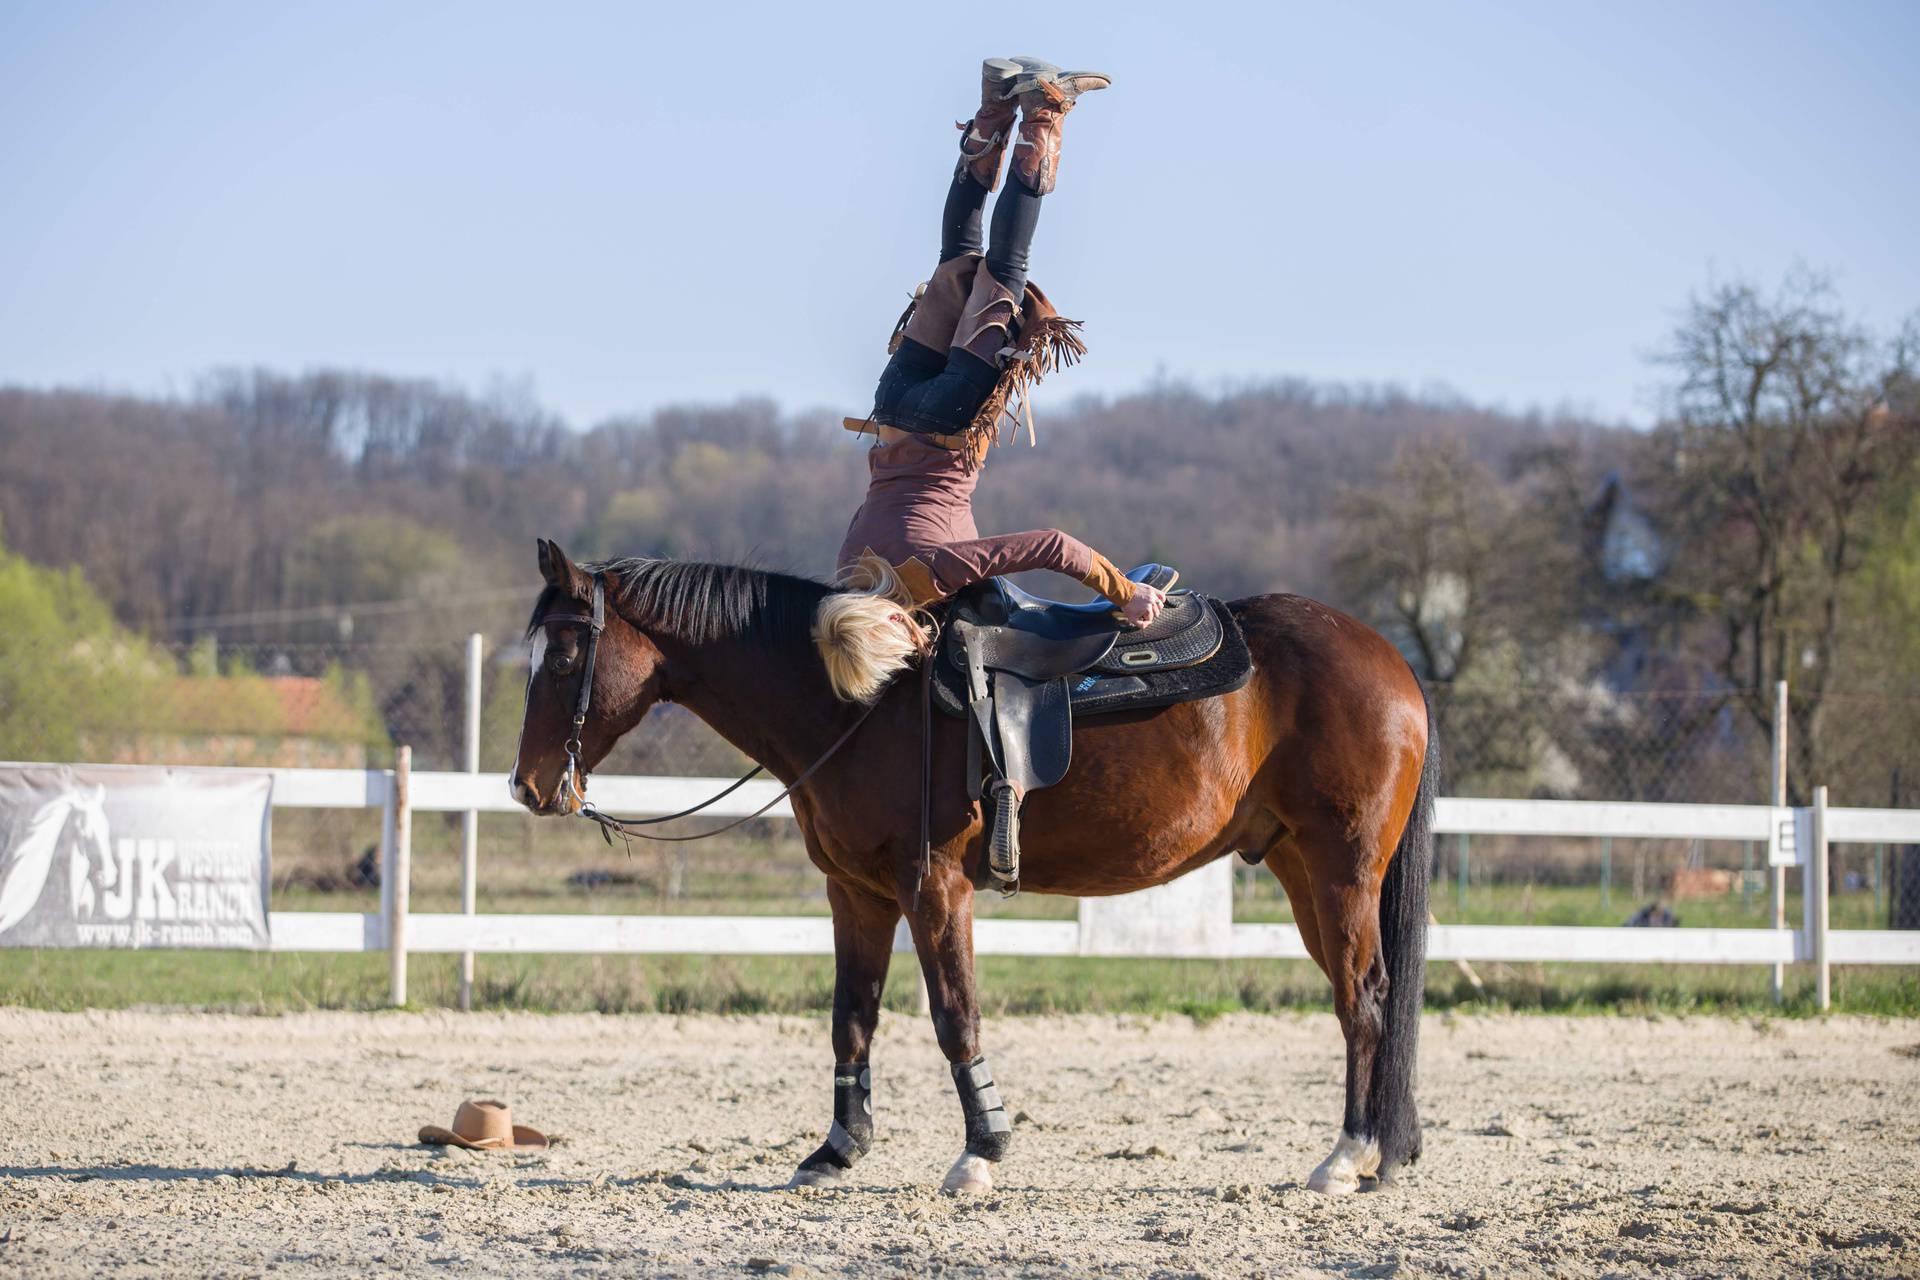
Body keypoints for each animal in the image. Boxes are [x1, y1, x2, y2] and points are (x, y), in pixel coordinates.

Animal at [518, 537, 1436, 1189]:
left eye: (562, 658)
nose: (527, 785)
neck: (861, 701)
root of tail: (1392, 662)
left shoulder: (935, 889)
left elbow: (955, 1016)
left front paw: (981, 1151)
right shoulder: (855, 894)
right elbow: (852, 1017)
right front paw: (836, 1149)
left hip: (1341, 871)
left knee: (1363, 999)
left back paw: (1346, 1157)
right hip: (1301, 873)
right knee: (1368, 995)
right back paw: (1385, 1152)